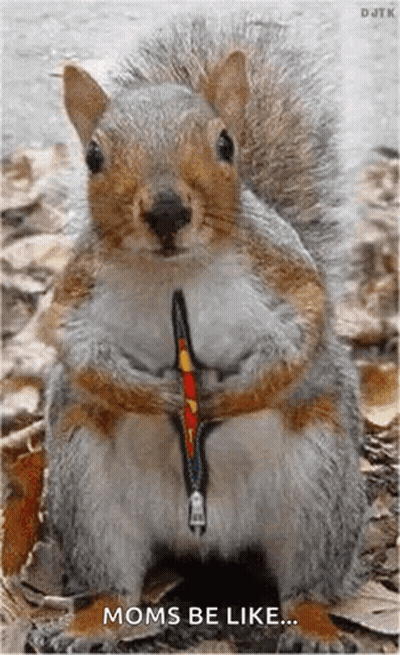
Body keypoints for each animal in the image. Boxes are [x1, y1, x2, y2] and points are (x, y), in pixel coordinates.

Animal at [37, 16, 366, 652]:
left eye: (225, 144)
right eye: (93, 157)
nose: (167, 211)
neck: (175, 274)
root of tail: (207, 534)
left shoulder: (287, 275)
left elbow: (301, 336)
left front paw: (228, 397)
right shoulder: (73, 298)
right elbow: (81, 352)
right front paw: (160, 395)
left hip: (323, 488)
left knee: (306, 581)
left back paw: (313, 623)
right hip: (85, 485)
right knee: (113, 578)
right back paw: (91, 620)